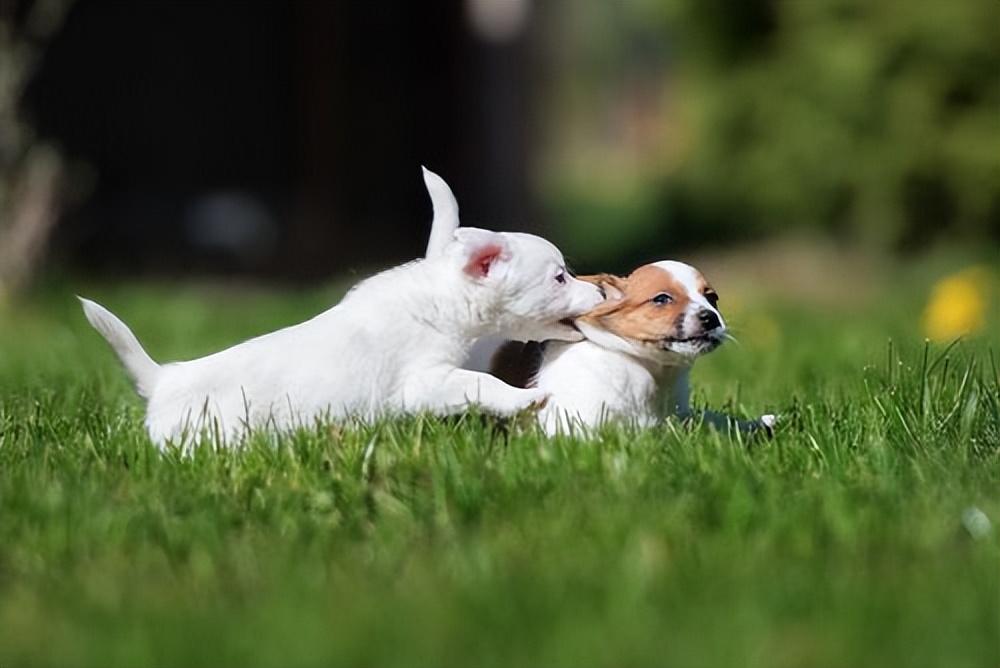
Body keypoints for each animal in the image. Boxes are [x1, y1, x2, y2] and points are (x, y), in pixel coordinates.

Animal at [82, 170, 600, 446]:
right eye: (559, 276)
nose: (601, 296)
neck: (438, 301)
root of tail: (162, 381)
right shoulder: (425, 383)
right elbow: (479, 384)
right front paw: (523, 399)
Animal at [492, 260, 772, 438]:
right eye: (662, 299)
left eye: (712, 298)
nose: (711, 318)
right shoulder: (572, 427)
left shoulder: (682, 414)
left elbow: (714, 419)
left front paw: (758, 423)